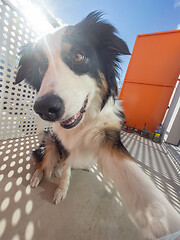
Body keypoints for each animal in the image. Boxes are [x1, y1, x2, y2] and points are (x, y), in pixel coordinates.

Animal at [15, 11, 180, 240]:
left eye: (78, 56)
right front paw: (61, 190)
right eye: (40, 67)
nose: (44, 108)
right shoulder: (64, 144)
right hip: (49, 142)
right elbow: (66, 171)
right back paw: (38, 176)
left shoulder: (108, 136)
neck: (83, 123)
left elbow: (139, 184)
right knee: (42, 162)